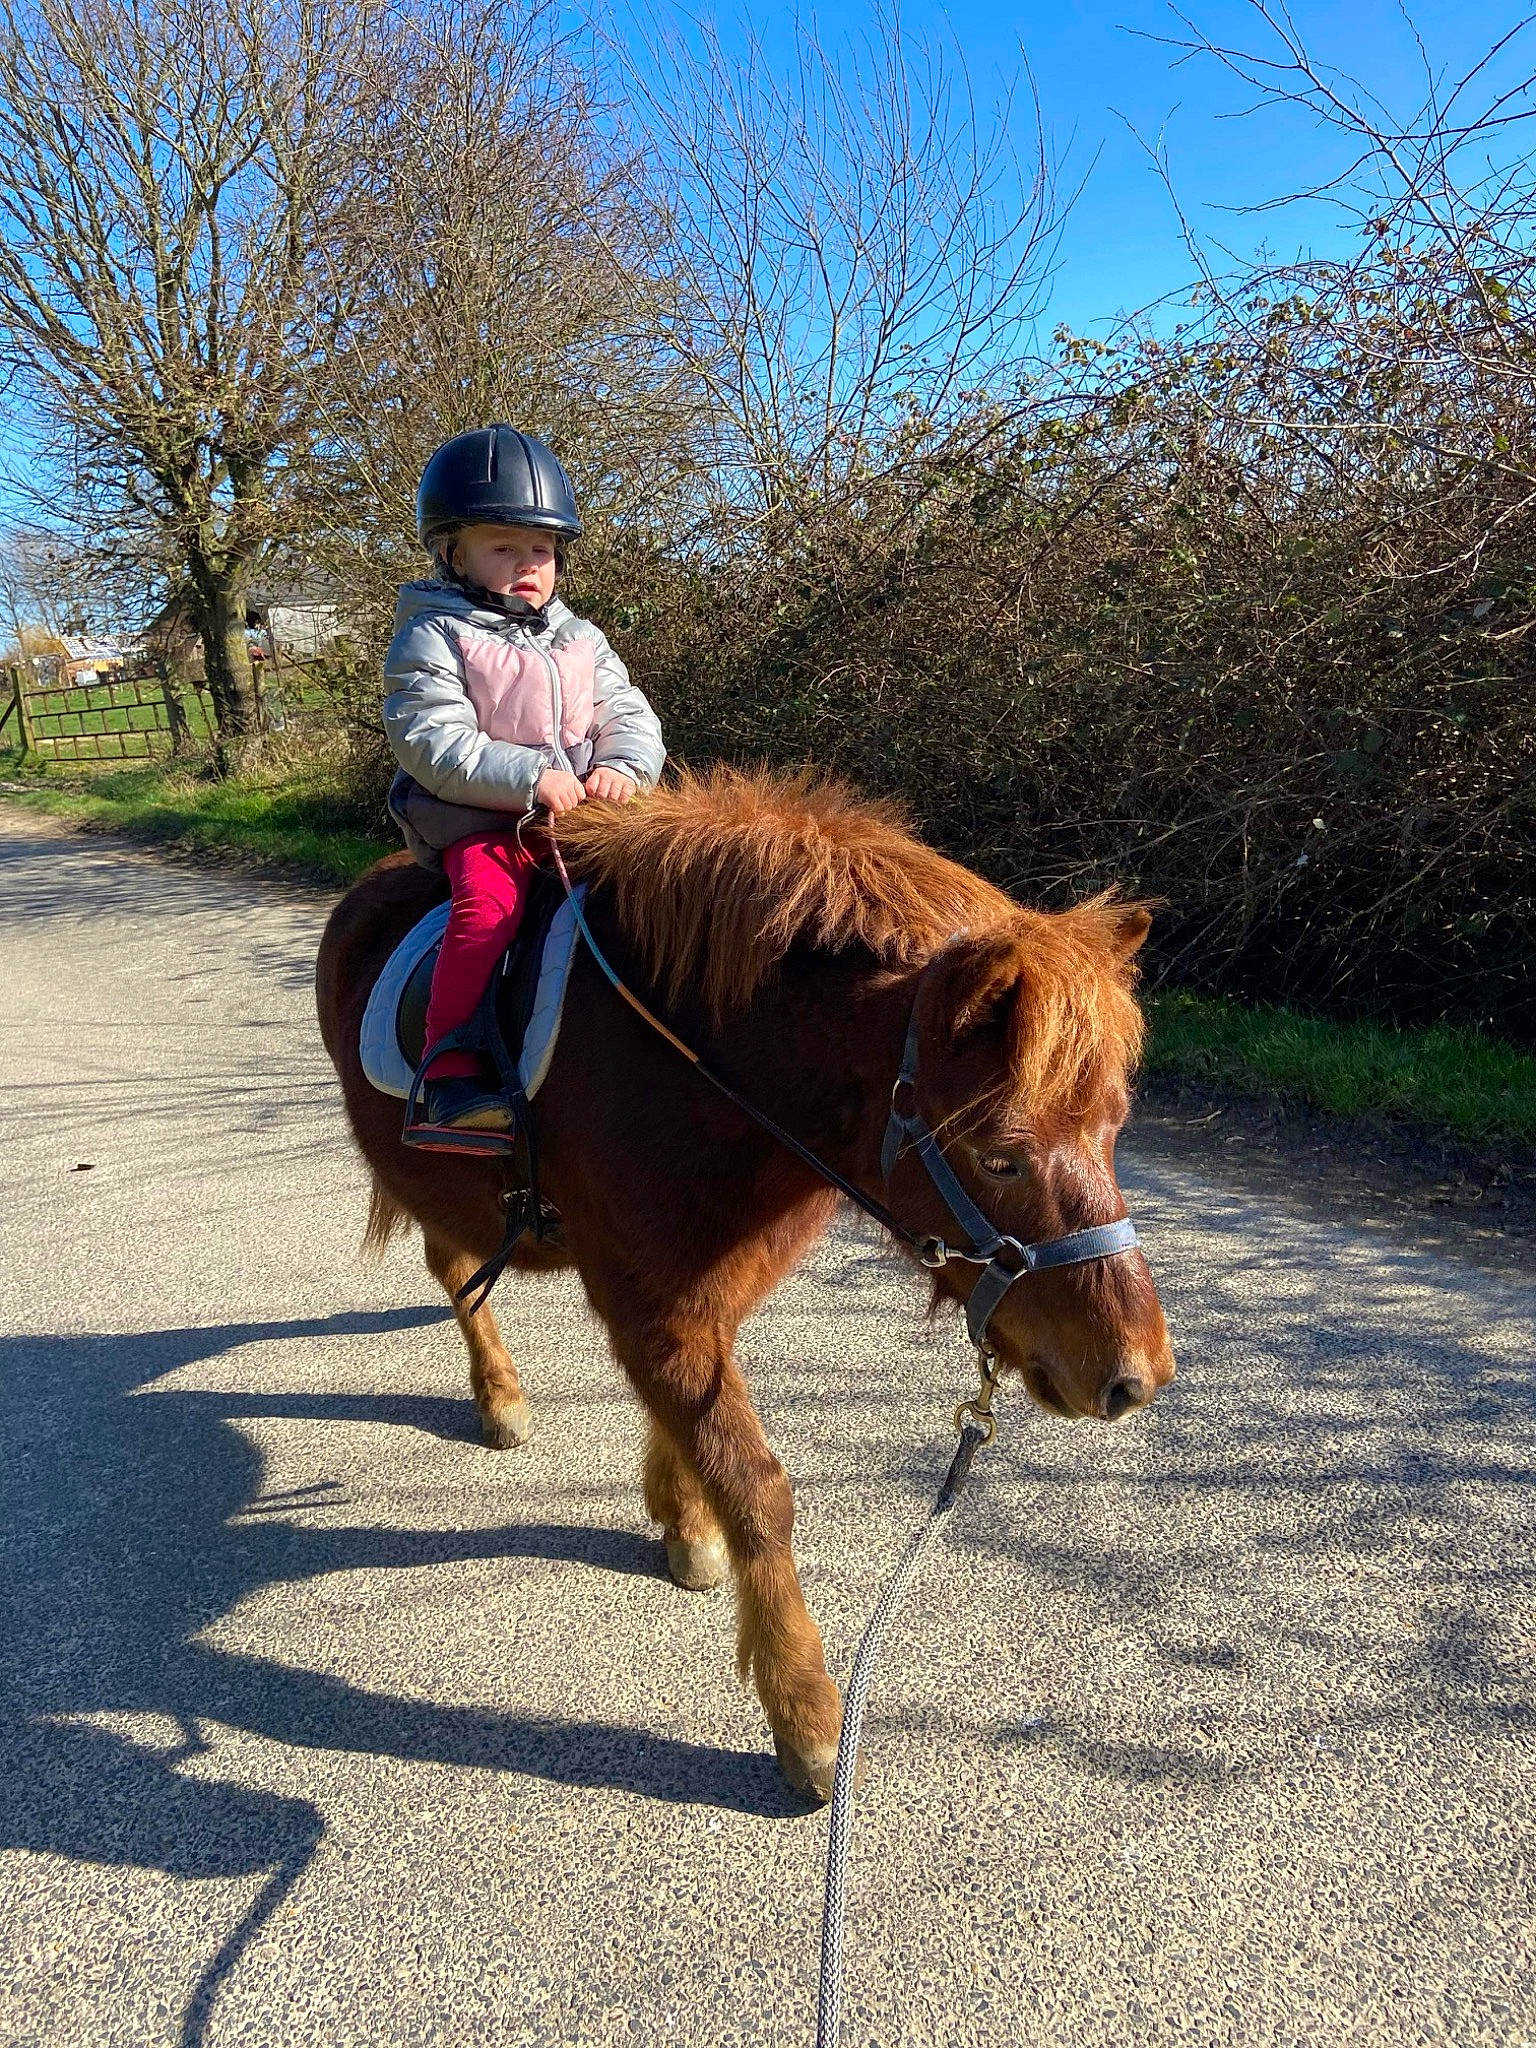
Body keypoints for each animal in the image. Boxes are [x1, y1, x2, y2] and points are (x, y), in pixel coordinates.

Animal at [315, 767, 1175, 1801]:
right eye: (1001, 1156)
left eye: (1115, 1127)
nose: (1134, 1376)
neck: (695, 1066)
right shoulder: (656, 1300)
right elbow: (756, 1486)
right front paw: (805, 1715)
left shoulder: (695, 1295)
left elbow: (688, 1428)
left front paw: (684, 1520)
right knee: (455, 1278)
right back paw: (500, 1396)